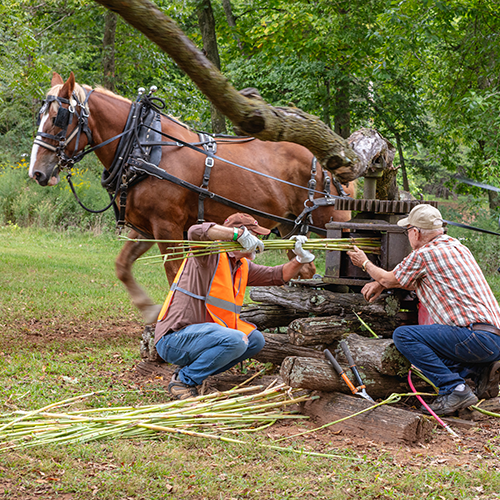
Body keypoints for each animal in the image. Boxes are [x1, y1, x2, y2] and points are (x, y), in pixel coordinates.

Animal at [29, 73, 356, 324]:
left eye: (59, 118)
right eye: (40, 116)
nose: (37, 172)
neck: (143, 146)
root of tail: (338, 154)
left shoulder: (167, 226)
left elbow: (174, 274)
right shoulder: (146, 227)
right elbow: (122, 265)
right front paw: (150, 311)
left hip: (332, 223)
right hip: (290, 226)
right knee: (304, 267)